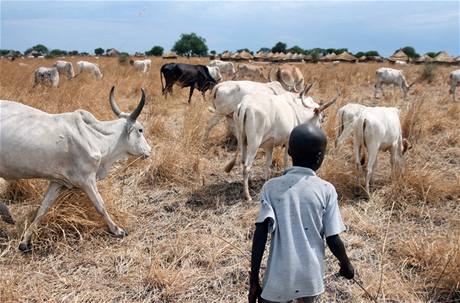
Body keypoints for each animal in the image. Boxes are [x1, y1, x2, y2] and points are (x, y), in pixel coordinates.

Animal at [0, 86, 151, 252]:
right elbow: (100, 206)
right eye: (140, 130)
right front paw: (117, 230)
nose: (149, 151)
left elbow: (43, 209)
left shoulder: (58, 181)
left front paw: (25, 241)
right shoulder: (87, 180)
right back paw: (7, 215)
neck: (95, 137)